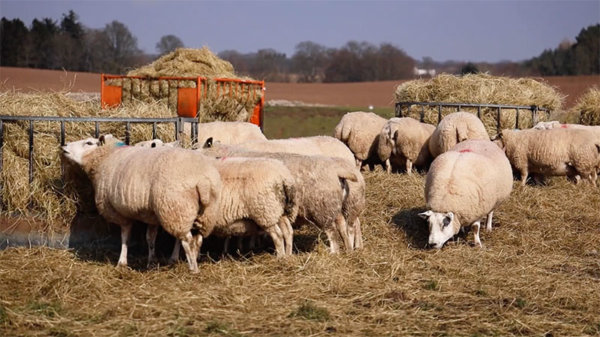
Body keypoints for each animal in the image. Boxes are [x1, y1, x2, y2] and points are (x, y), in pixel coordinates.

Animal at [60, 133, 223, 272]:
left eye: (88, 143)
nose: (64, 146)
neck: (107, 157)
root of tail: (202, 180)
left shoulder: (120, 212)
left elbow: (125, 236)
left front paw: (122, 262)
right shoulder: (152, 216)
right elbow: (150, 238)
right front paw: (151, 260)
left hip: (175, 207)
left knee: (187, 239)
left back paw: (193, 268)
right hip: (201, 213)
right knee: (196, 238)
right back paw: (180, 258)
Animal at [200, 144, 366, 252]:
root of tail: (339, 171)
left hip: (322, 208)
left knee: (334, 231)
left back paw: (336, 252)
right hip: (340, 207)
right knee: (345, 226)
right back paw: (350, 250)